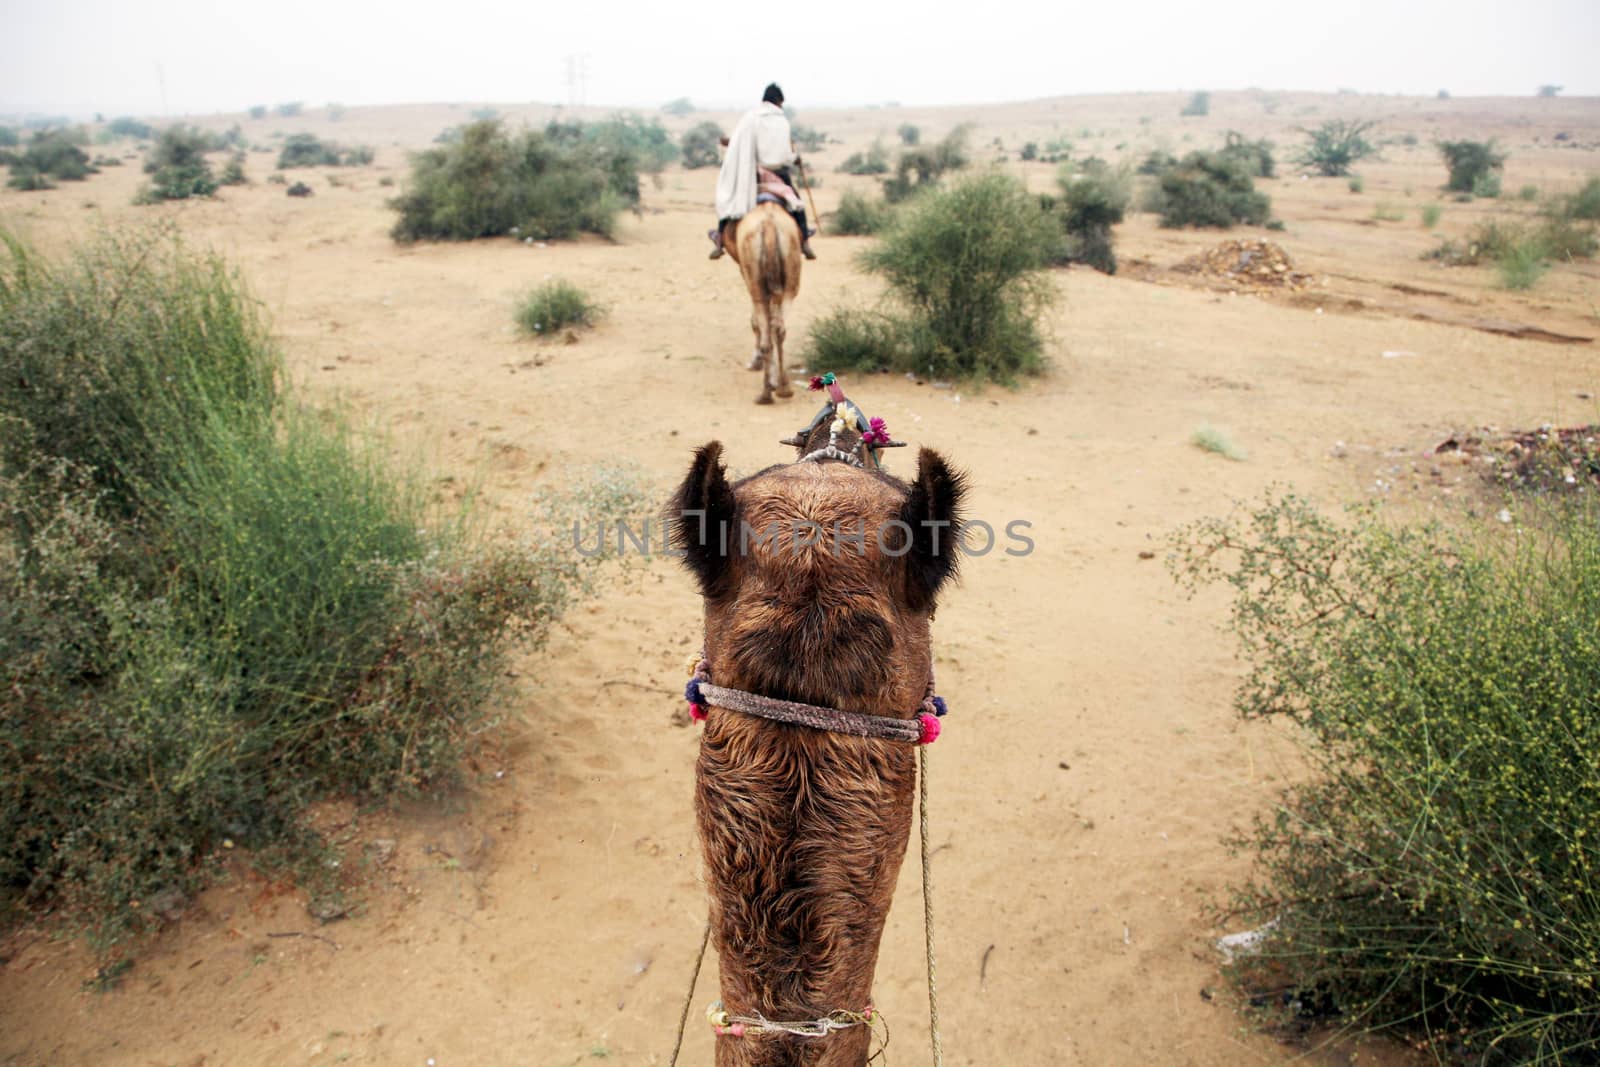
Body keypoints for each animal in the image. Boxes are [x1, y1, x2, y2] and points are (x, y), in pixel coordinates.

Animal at [723, 201, 800, 404]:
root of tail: (769, 225)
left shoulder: (745, 274)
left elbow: (756, 322)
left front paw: (755, 363)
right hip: (790, 277)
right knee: (779, 329)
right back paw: (783, 389)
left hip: (755, 280)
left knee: (766, 328)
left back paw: (767, 392)